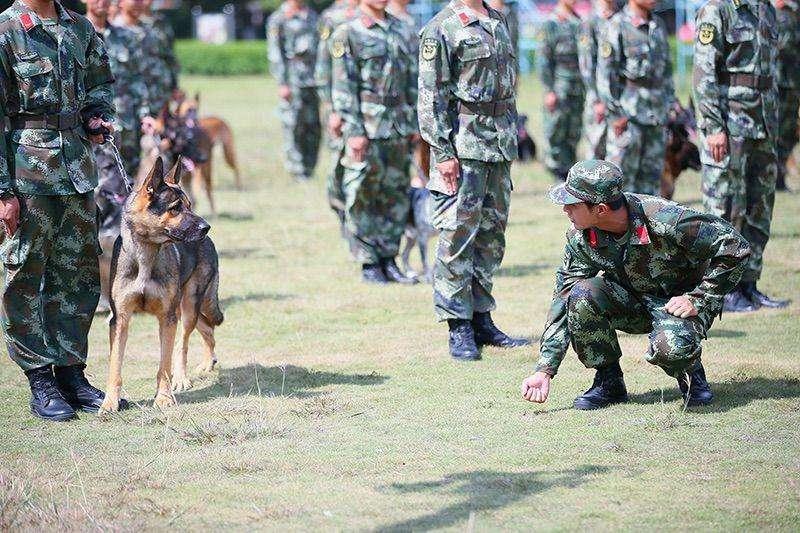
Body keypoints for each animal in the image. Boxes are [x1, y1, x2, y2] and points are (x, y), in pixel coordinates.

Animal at [101, 156, 225, 414]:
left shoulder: (167, 319)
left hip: (187, 307)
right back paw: (208, 363)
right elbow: (115, 365)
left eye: (190, 205)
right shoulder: (120, 320)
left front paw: (164, 398)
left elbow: (165, 363)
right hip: (183, 310)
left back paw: (182, 377)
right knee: (207, 328)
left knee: (184, 343)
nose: (206, 227)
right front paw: (110, 402)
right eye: (175, 208)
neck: (146, 253)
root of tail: (208, 242)